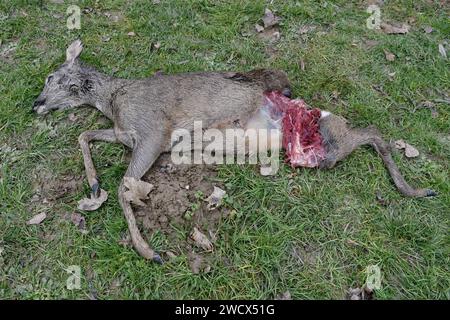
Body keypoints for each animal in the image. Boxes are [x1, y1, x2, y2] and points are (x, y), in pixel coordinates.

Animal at [34, 40, 436, 262]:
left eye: (51, 77)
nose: (35, 102)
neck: (115, 101)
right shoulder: (126, 135)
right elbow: (84, 134)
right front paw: (92, 188)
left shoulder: (153, 132)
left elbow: (123, 186)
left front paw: (149, 251)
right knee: (369, 133)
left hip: (329, 147)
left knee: (374, 132)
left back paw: (417, 189)